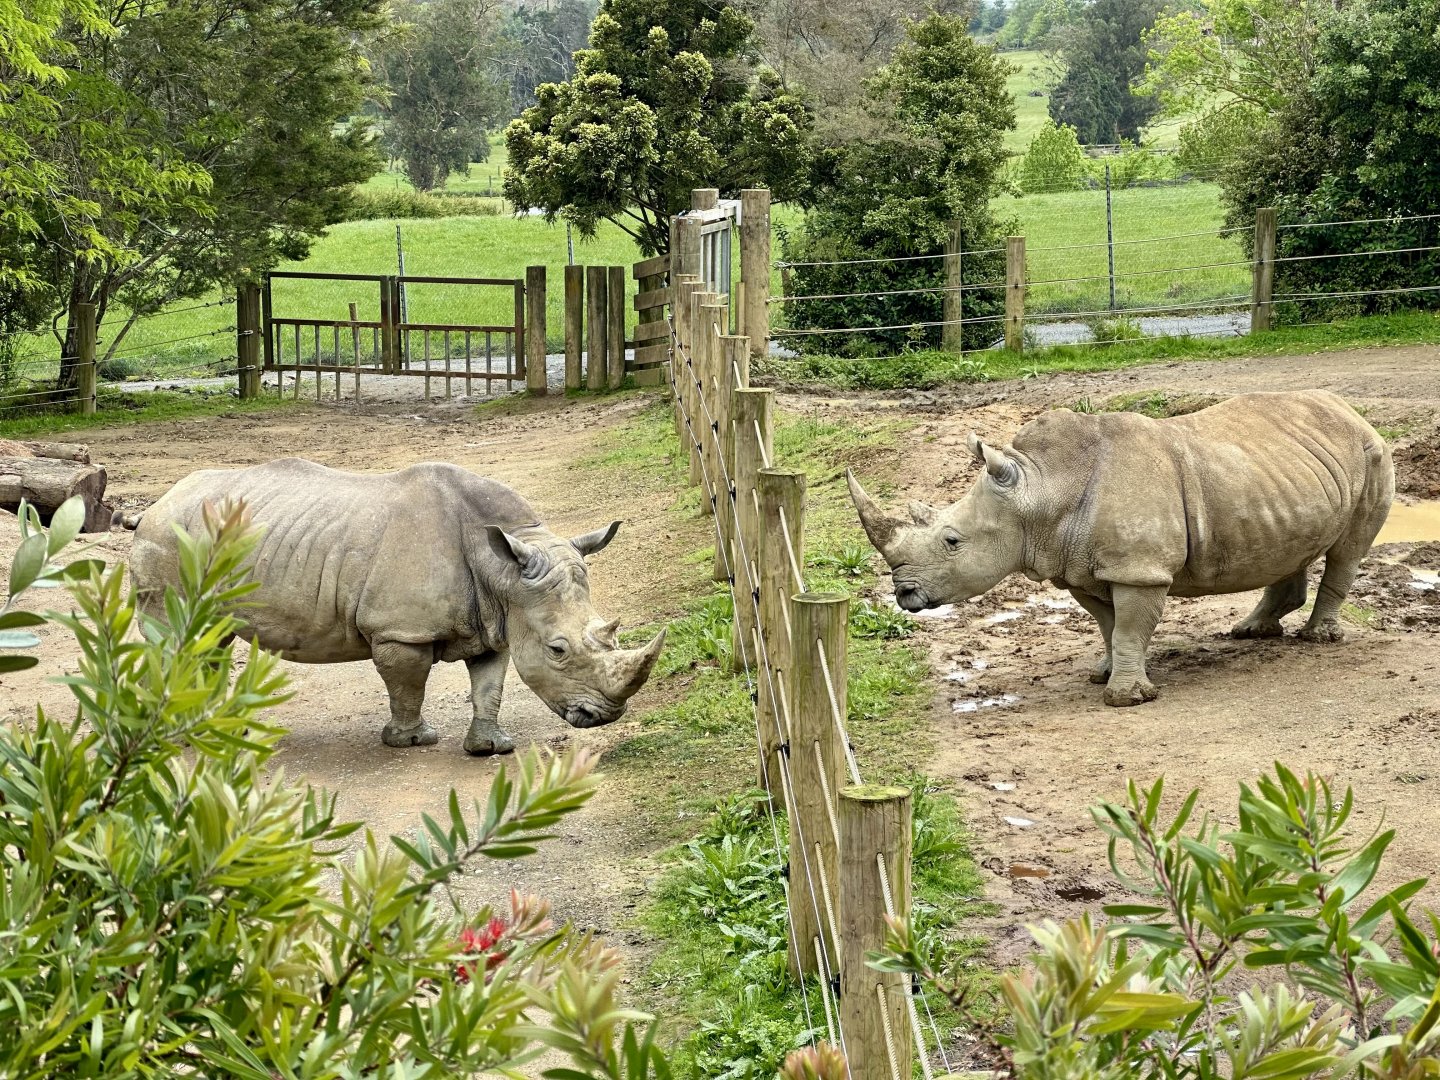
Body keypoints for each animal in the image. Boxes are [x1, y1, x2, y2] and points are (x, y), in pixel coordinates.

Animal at [128, 459, 665, 753]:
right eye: (558, 650)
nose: (605, 716)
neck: (503, 569)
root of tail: (159, 501)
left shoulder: (496, 620)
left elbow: (489, 685)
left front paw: (490, 748)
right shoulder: (399, 630)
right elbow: (408, 684)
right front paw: (411, 740)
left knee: (210, 636)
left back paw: (214, 724)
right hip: (168, 539)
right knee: (175, 636)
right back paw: (178, 734)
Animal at [847, 390, 1394, 706]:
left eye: (952, 541)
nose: (904, 594)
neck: (1041, 490)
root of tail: (1350, 409)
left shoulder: (1139, 568)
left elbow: (1130, 626)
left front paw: (1127, 698)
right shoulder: (1080, 566)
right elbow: (1107, 624)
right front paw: (1103, 673)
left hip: (1372, 452)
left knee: (1348, 550)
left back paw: (1319, 639)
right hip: (1282, 470)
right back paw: (1251, 631)